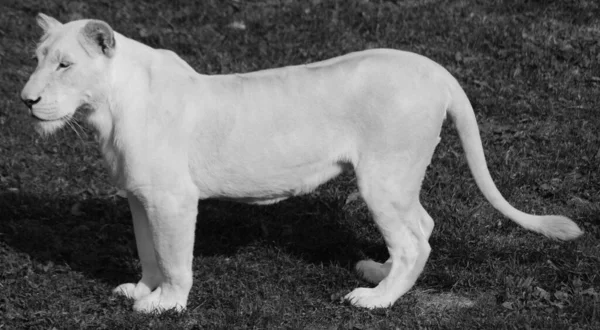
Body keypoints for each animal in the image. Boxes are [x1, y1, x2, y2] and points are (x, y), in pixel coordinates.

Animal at [22, 14, 580, 314]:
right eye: (36, 59)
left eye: (65, 65)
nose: (26, 100)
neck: (106, 110)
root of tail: (436, 70)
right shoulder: (141, 198)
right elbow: (148, 251)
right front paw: (140, 289)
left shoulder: (173, 199)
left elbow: (175, 259)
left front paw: (166, 304)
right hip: (398, 179)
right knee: (421, 225)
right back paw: (376, 271)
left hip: (382, 176)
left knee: (415, 240)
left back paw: (374, 299)